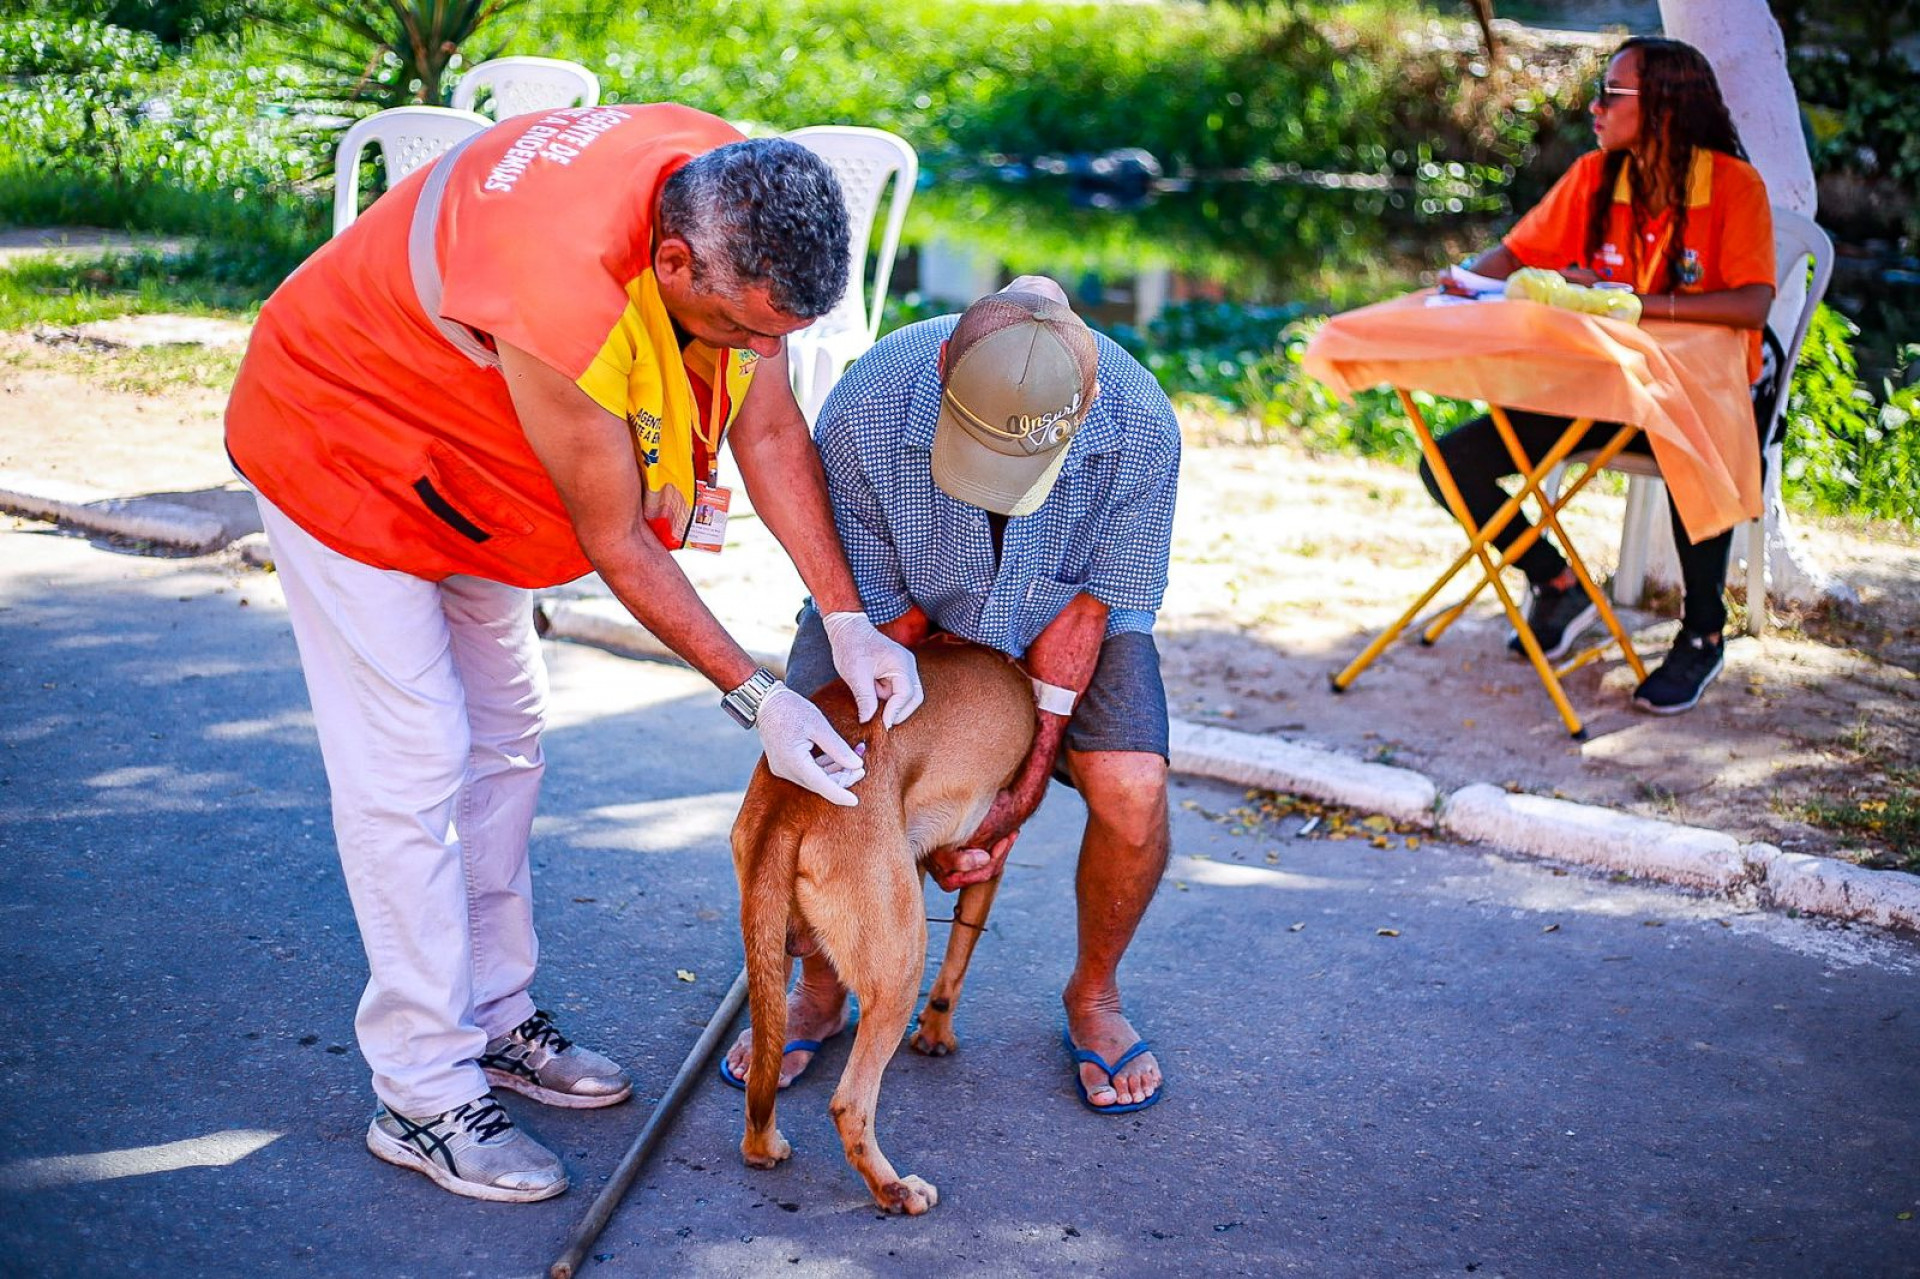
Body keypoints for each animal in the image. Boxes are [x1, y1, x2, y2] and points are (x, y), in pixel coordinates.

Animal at [729, 633, 1036, 1213]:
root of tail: (792, 799)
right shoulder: (987, 859)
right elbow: (959, 958)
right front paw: (937, 1032)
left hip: (772, 947)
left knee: (764, 1074)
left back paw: (765, 1147)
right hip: (900, 968)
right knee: (850, 1103)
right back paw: (894, 1190)